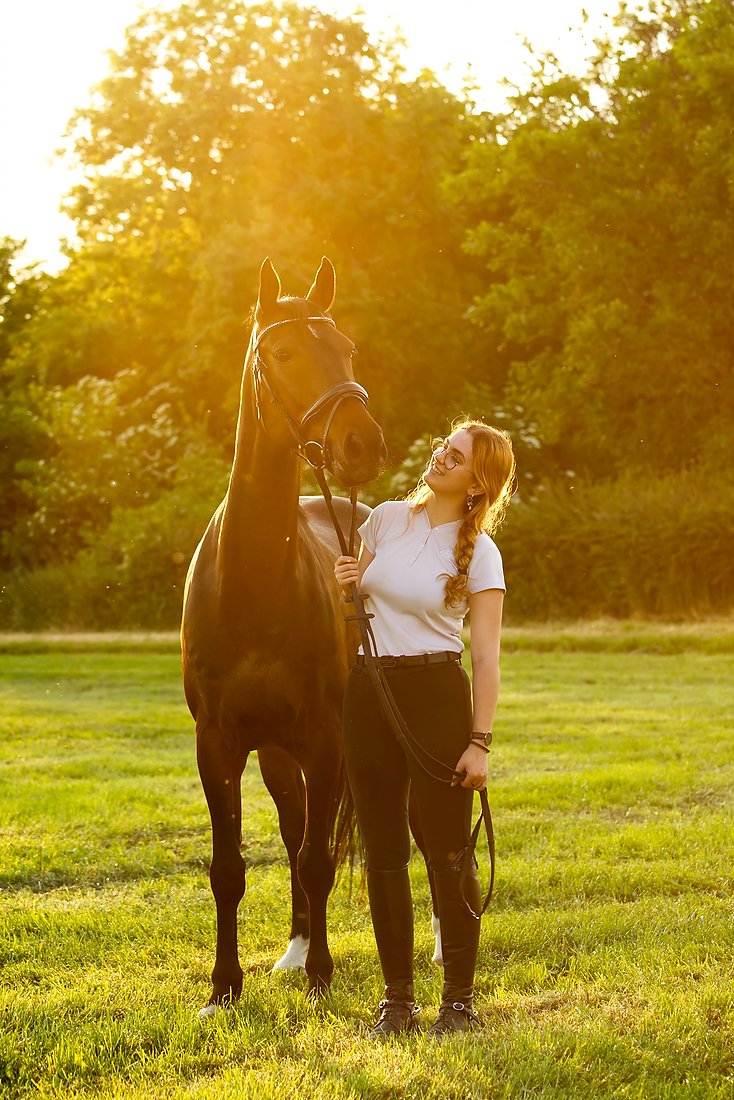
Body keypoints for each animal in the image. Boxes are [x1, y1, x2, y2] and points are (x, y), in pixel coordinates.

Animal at [182, 257, 385, 1012]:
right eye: (285, 352)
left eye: (347, 349)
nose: (361, 443)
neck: (254, 583)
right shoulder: (219, 744)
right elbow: (229, 867)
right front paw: (223, 986)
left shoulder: (327, 739)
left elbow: (319, 859)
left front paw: (324, 974)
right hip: (275, 753)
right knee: (295, 824)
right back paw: (293, 949)